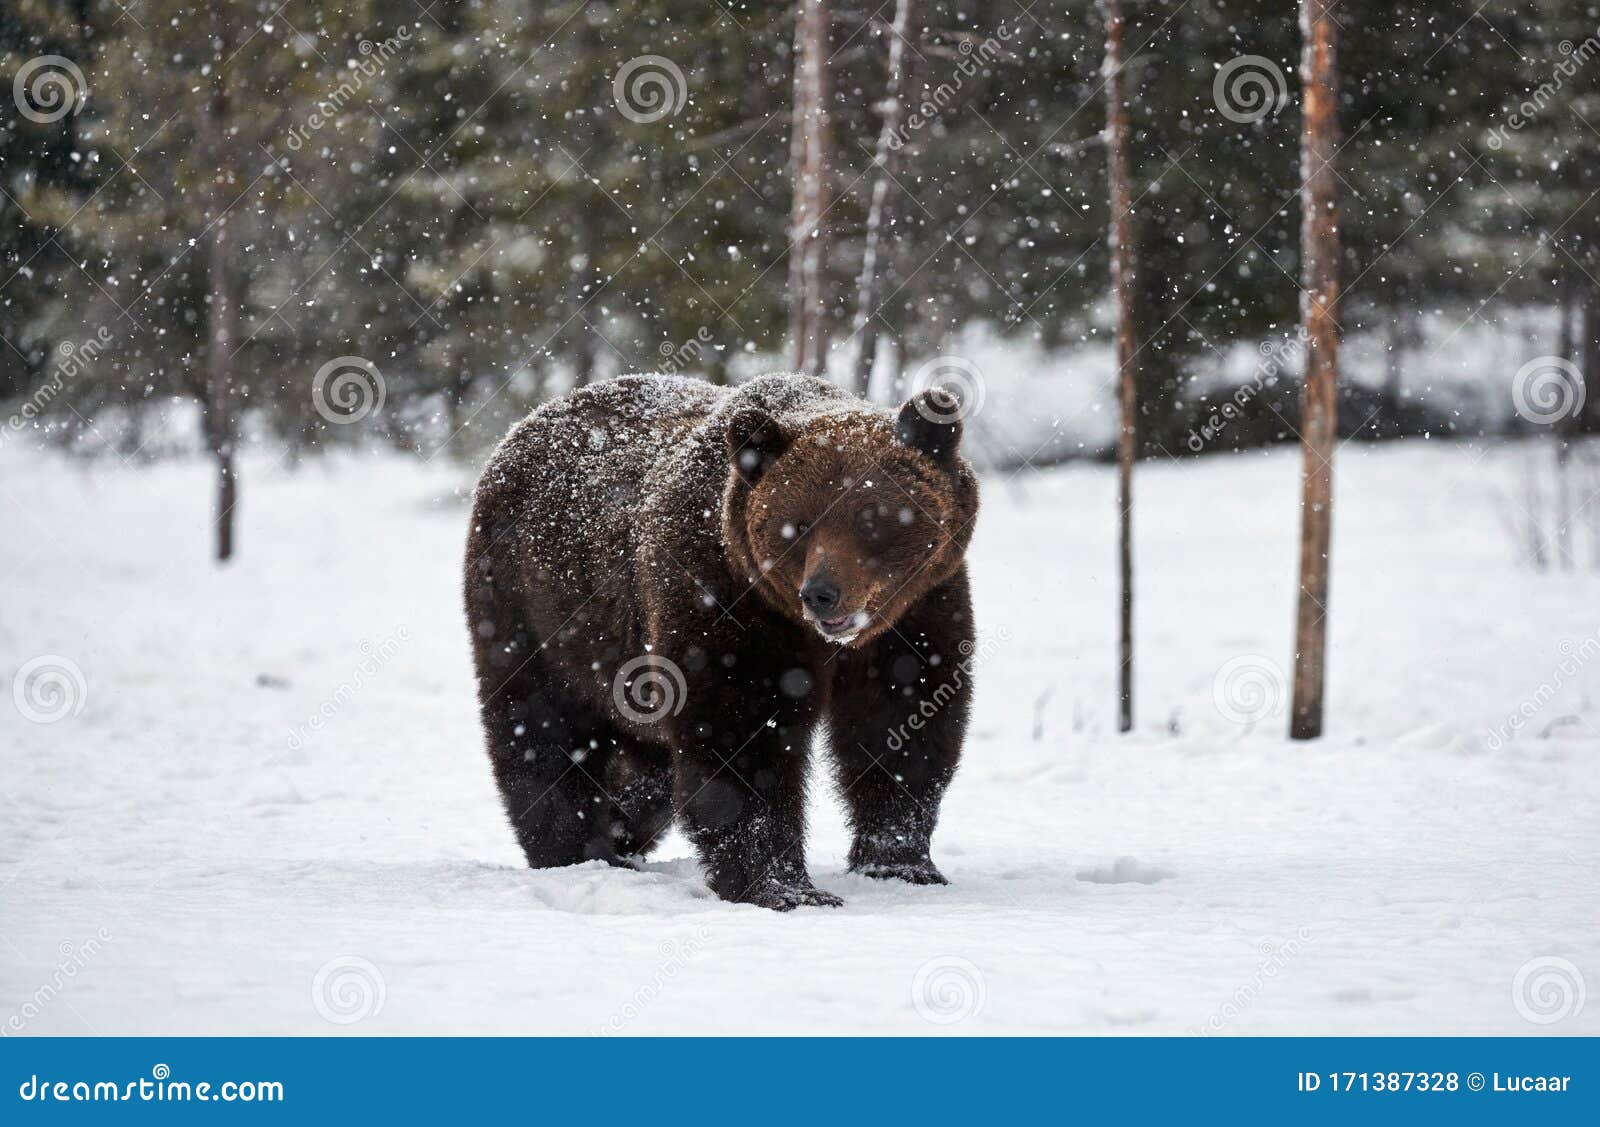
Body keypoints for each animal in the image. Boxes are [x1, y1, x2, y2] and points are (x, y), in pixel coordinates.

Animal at [467, 374, 972, 909]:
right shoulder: (724, 600)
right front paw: (784, 886)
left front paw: (901, 863)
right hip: (534, 611)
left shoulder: (919, 610)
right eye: (799, 526)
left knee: (650, 764)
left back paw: (621, 829)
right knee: (540, 726)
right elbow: (741, 734)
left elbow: (901, 723)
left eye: (870, 519)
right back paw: (574, 849)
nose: (821, 594)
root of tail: (522, 428)